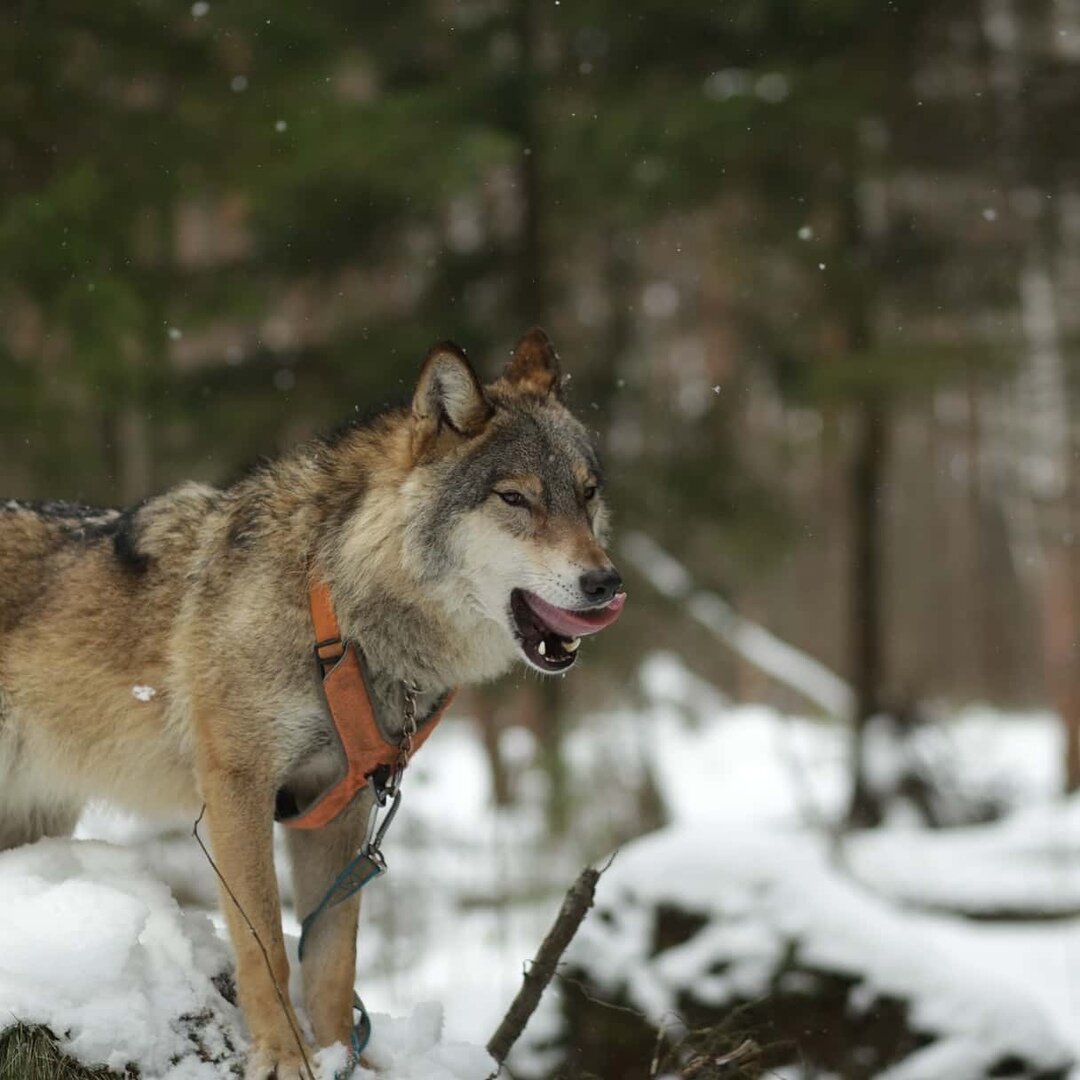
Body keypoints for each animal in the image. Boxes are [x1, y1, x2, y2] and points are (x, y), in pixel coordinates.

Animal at [0, 328, 626, 1080]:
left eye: (586, 496)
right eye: (515, 498)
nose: (606, 583)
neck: (334, 602)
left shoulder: (338, 804)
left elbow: (333, 962)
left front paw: (340, 1055)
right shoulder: (238, 789)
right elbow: (266, 944)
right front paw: (284, 1056)